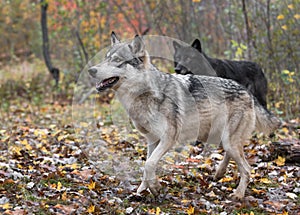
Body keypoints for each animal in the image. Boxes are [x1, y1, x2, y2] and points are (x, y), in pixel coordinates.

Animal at [88, 31, 280, 200]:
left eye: (117, 61)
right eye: (106, 58)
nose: (91, 70)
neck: (144, 95)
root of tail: (247, 92)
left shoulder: (168, 138)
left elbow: (149, 164)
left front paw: (155, 188)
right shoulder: (152, 140)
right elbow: (146, 166)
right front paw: (142, 191)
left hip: (227, 139)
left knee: (247, 169)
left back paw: (238, 195)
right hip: (220, 137)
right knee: (232, 155)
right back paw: (219, 173)